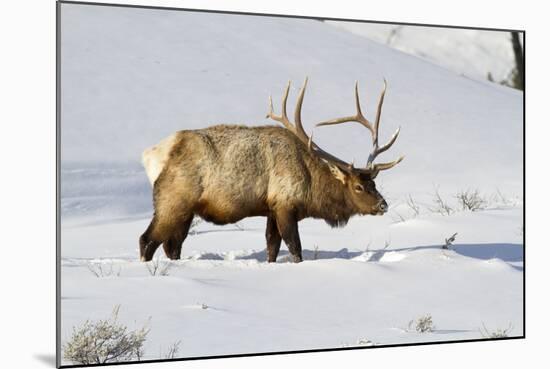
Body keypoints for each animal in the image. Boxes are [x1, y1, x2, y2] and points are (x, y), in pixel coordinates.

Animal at [140, 78, 404, 262]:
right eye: (358, 186)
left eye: (374, 183)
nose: (383, 205)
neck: (312, 189)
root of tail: (152, 155)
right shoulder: (286, 205)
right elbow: (295, 249)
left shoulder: (271, 209)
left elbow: (271, 248)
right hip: (172, 199)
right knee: (147, 240)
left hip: (186, 209)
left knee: (172, 245)